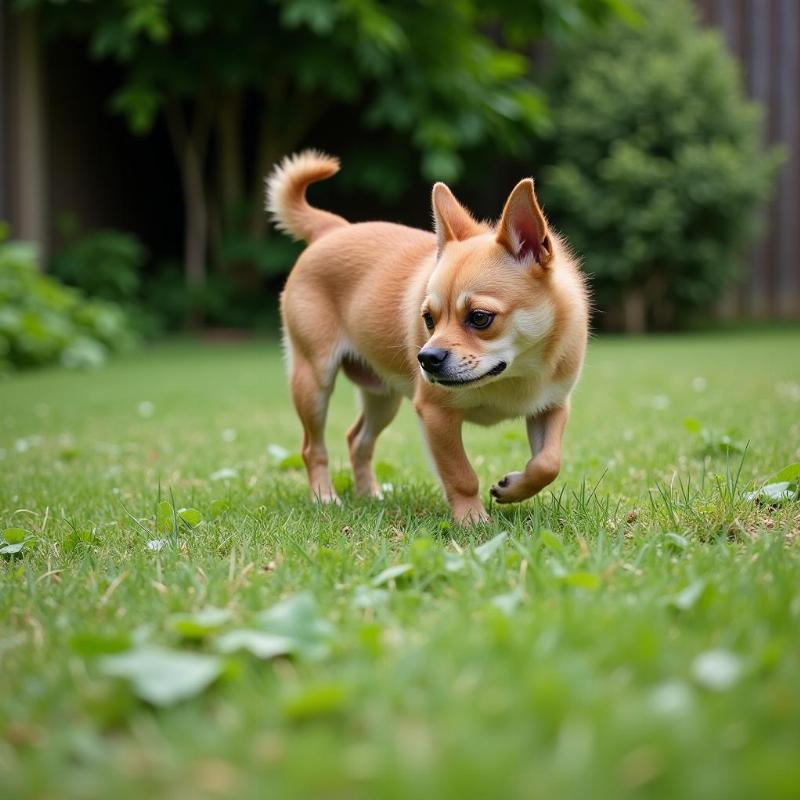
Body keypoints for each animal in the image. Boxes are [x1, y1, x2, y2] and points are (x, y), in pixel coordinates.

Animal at [268, 150, 588, 524]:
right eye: (429, 319)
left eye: (480, 318)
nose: (426, 358)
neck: (514, 374)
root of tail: (333, 228)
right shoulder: (436, 417)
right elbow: (461, 475)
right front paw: (472, 521)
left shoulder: (551, 407)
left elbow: (548, 463)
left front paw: (512, 489)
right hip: (314, 382)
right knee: (312, 447)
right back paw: (324, 496)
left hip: (382, 397)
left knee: (358, 440)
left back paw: (369, 495)